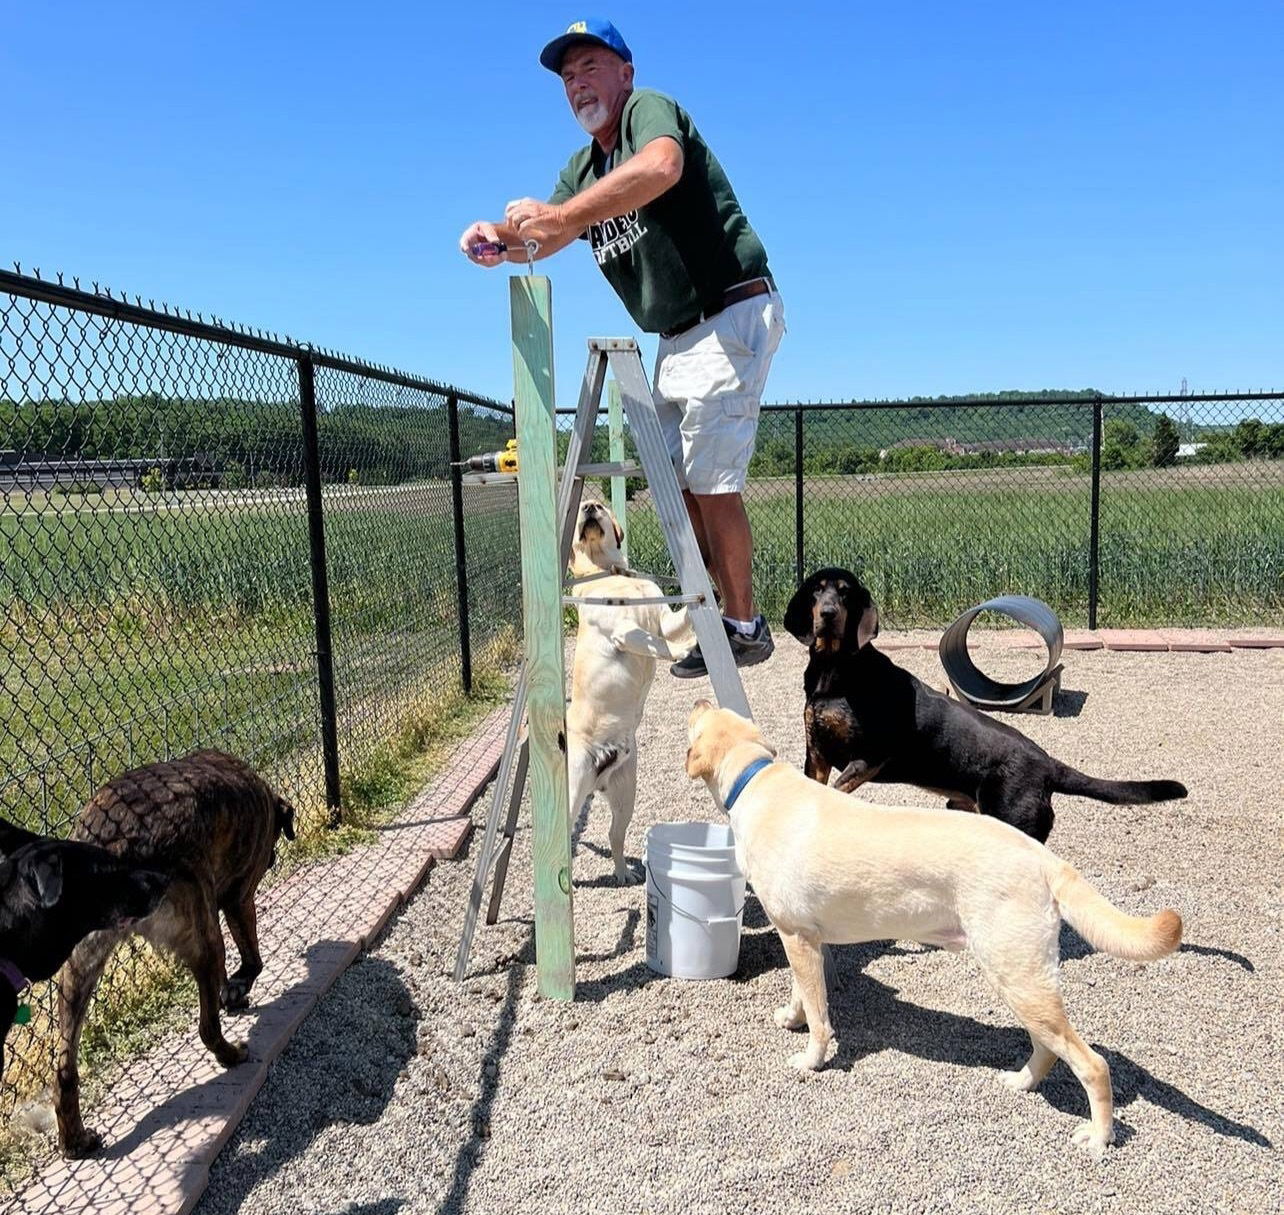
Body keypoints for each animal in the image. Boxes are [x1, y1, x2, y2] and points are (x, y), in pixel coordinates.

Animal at [55, 750, 294, 1155]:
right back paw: (231, 1055)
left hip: (76, 970)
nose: (275, 857)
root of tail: (118, 842)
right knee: (206, 1028)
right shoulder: (238, 897)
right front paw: (238, 989)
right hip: (203, 935)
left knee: (64, 1069)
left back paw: (76, 1140)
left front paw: (231, 994)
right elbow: (252, 960)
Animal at [567, 500, 698, 878]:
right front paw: (686, 650)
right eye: (583, 508)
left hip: (627, 794)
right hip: (572, 793)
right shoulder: (625, 631)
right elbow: (662, 645)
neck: (608, 570)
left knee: (615, 835)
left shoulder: (664, 617)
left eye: (600, 506)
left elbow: (679, 619)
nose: (590, 506)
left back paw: (625, 872)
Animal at [780, 565, 1191, 832]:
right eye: (816, 590)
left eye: (845, 591)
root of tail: (1048, 766)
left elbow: (837, 789)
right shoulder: (816, 753)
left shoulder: (870, 756)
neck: (835, 669)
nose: (828, 614)